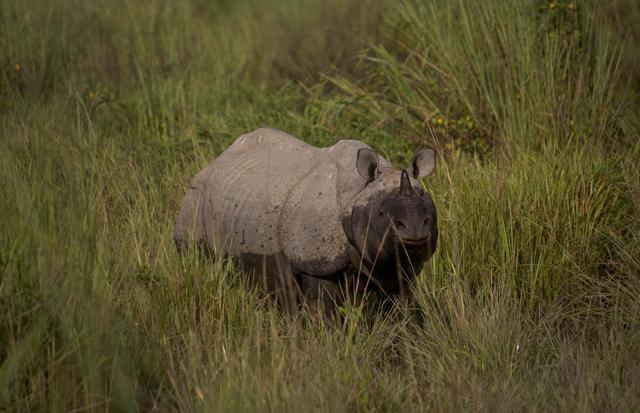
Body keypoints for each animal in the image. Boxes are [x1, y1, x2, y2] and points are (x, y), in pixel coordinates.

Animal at [174, 128, 437, 311]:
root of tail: (215, 161)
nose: (414, 231)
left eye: (427, 211)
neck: (356, 195)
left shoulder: (398, 263)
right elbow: (324, 311)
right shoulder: (315, 262)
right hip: (195, 200)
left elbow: (400, 308)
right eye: (382, 215)